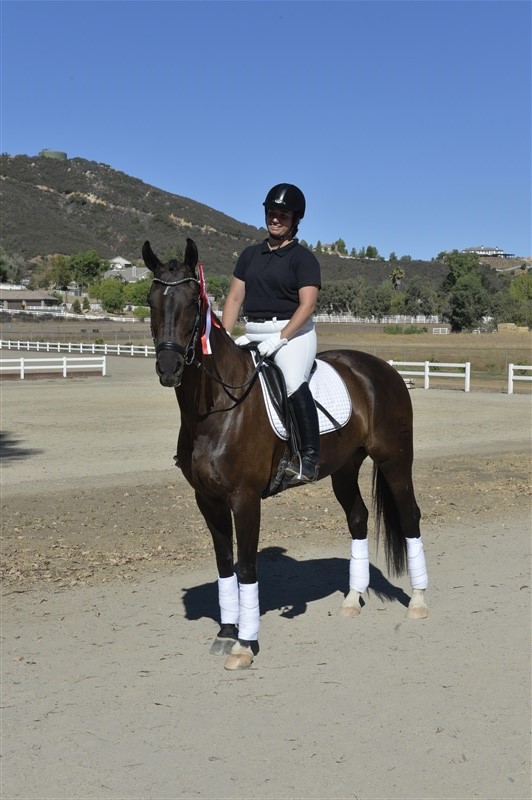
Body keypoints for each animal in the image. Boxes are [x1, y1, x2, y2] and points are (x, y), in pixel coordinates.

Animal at [142, 238, 429, 670]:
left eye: (194, 302)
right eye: (151, 300)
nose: (168, 368)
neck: (216, 408)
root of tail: (383, 369)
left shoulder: (244, 499)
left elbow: (246, 566)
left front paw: (244, 644)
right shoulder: (207, 499)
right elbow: (225, 564)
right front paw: (226, 632)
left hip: (394, 460)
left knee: (410, 515)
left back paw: (419, 603)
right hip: (344, 468)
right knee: (358, 518)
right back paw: (352, 599)